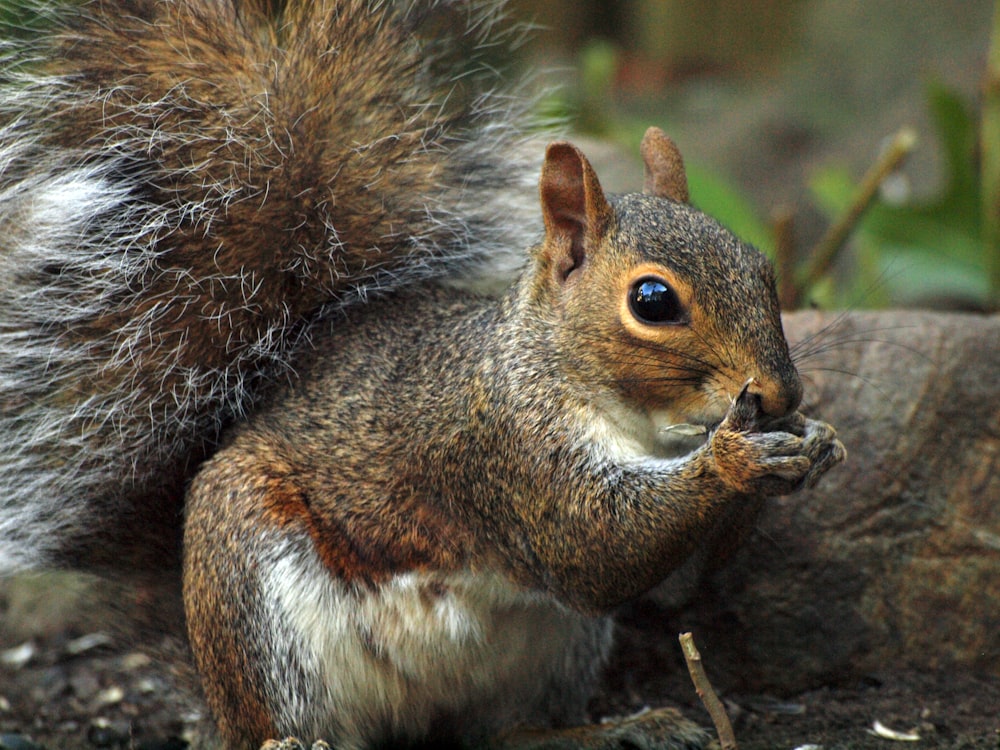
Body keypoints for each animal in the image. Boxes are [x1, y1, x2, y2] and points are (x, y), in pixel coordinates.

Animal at [0, 1, 844, 750]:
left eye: (762, 267)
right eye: (653, 301)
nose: (782, 392)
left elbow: (668, 588)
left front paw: (812, 442)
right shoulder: (501, 449)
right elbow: (592, 547)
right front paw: (736, 457)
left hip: (550, 652)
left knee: (501, 734)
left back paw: (609, 731)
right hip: (252, 594)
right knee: (277, 723)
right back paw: (294, 744)